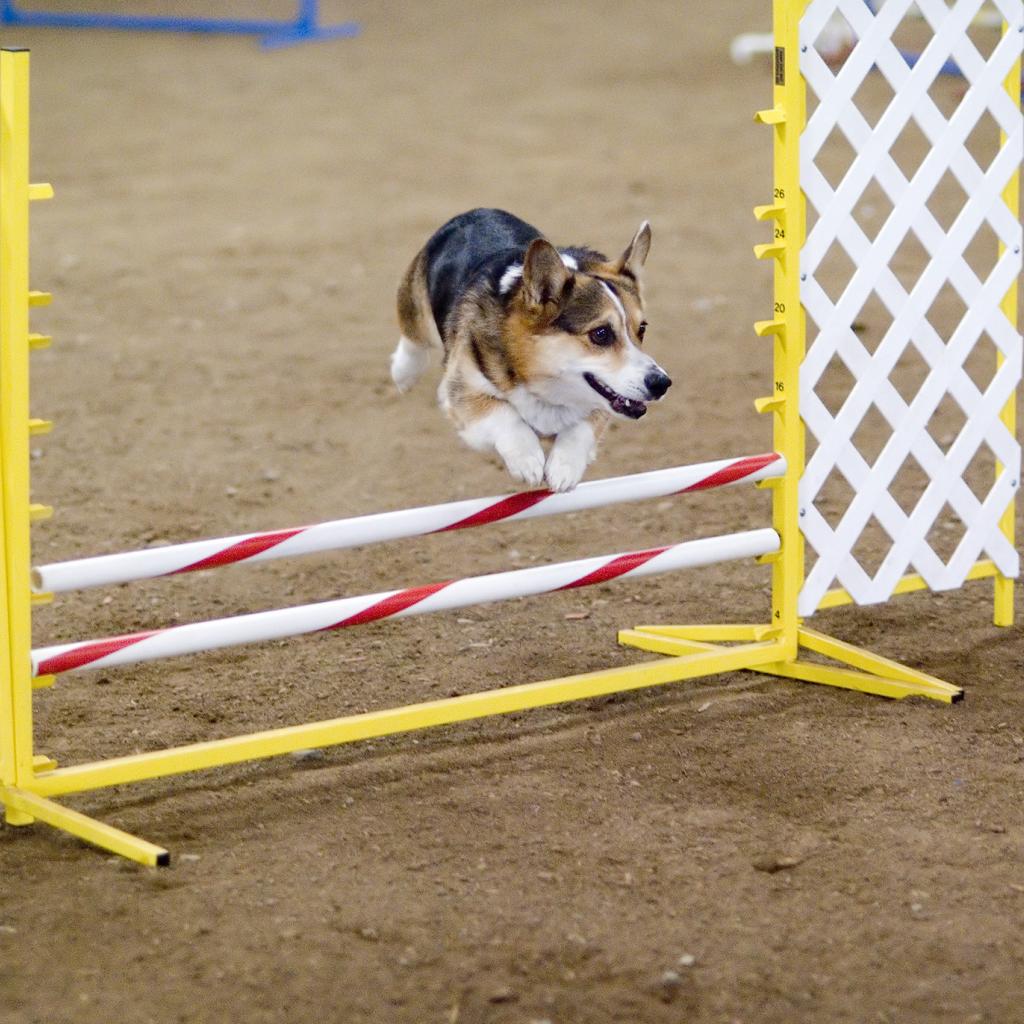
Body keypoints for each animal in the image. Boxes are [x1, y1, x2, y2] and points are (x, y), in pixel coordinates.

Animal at [390, 208, 671, 492]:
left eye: (642, 329)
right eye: (601, 334)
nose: (662, 383)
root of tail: (477, 212)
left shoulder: (602, 403)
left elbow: (582, 427)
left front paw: (564, 468)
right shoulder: (465, 395)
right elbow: (503, 414)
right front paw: (527, 459)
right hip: (417, 305)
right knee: (413, 336)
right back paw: (404, 372)